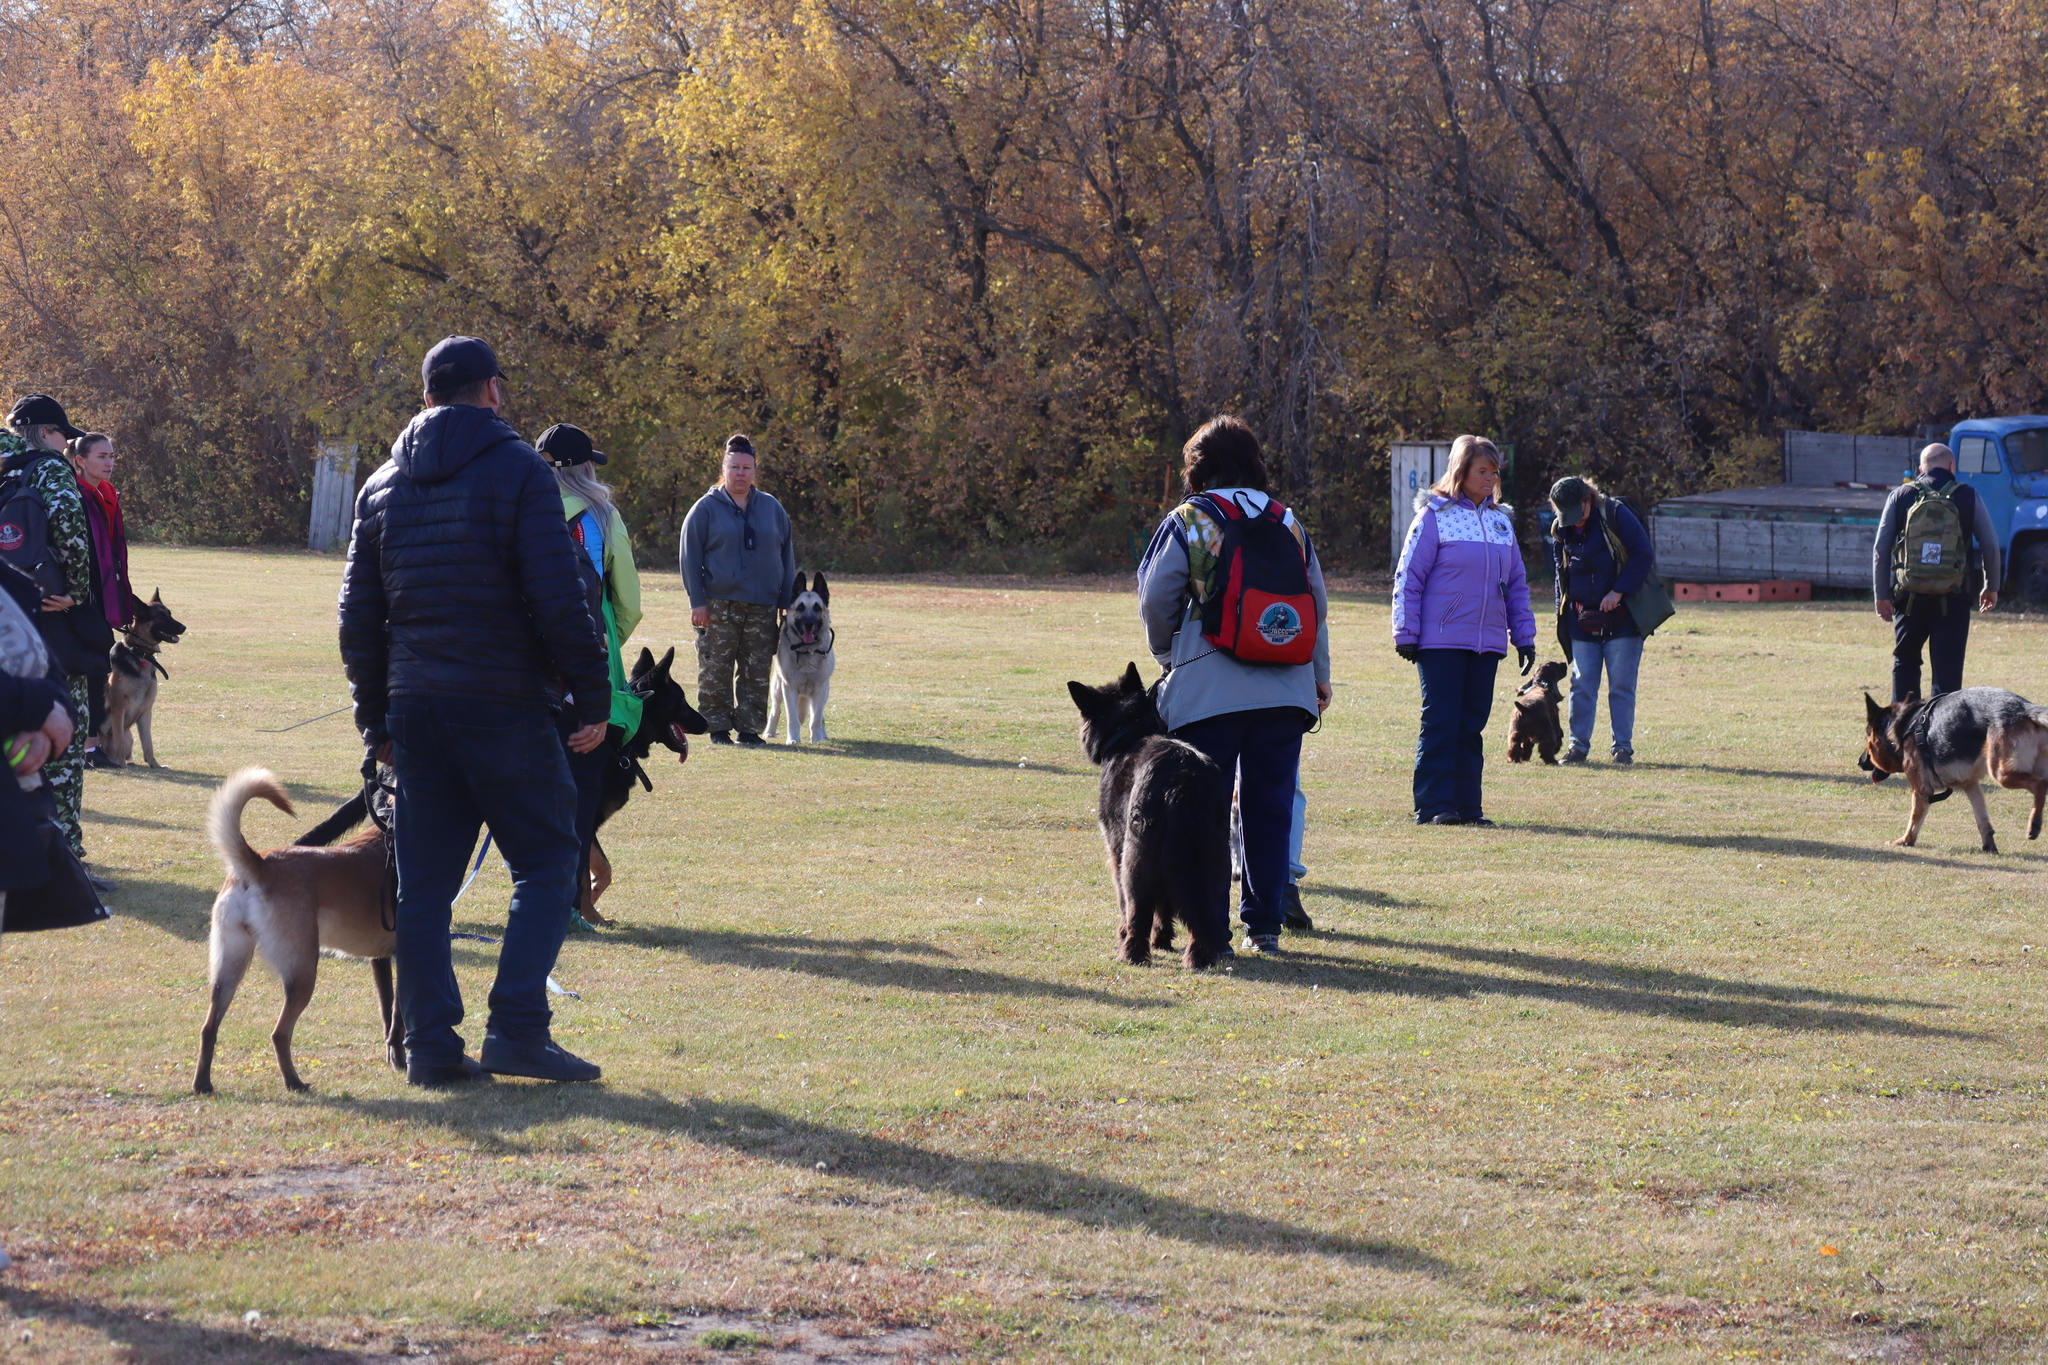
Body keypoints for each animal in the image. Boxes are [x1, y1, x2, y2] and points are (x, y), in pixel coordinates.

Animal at [193, 773, 401, 1096]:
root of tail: (260, 864)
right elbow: (399, 1019)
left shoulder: (380, 958)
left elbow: (388, 1013)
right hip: (303, 971)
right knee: (279, 1034)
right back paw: (294, 1082)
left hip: (230, 966)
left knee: (208, 1029)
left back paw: (203, 1084)